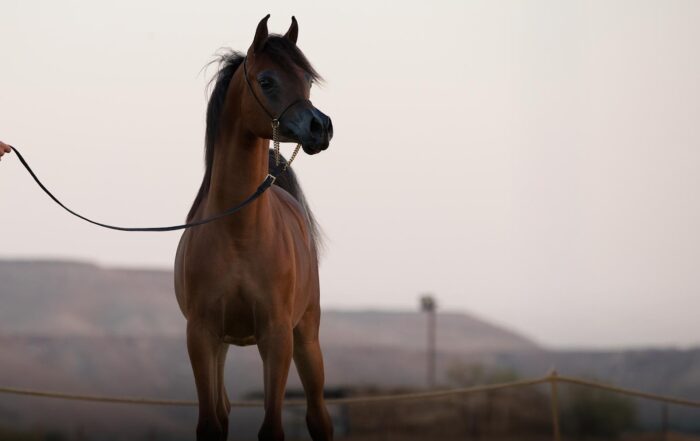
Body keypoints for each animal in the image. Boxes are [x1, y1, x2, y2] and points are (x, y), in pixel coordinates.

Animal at [174, 15, 334, 441]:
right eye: (266, 80)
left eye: (307, 80)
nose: (321, 127)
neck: (239, 234)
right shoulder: (202, 336)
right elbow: (211, 424)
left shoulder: (276, 337)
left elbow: (273, 429)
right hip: (224, 347)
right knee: (224, 409)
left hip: (306, 337)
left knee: (319, 418)